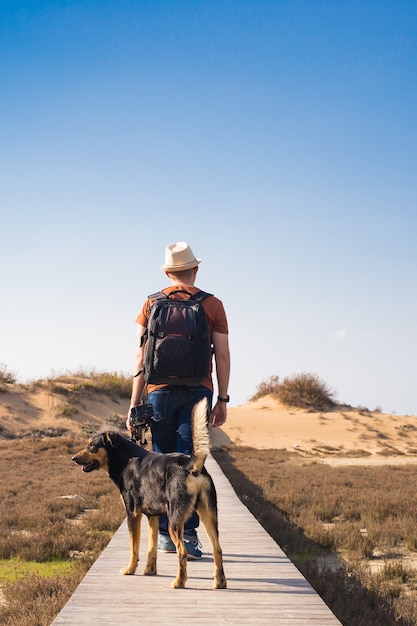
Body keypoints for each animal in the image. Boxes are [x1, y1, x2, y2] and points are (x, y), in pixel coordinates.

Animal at [73, 398, 226, 588]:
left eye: (92, 446)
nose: (73, 458)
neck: (125, 459)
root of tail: (191, 465)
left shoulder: (132, 514)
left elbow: (134, 548)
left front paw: (130, 569)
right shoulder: (153, 517)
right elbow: (151, 548)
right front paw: (150, 571)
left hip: (174, 521)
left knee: (182, 552)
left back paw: (179, 582)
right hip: (208, 515)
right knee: (217, 549)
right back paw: (219, 582)